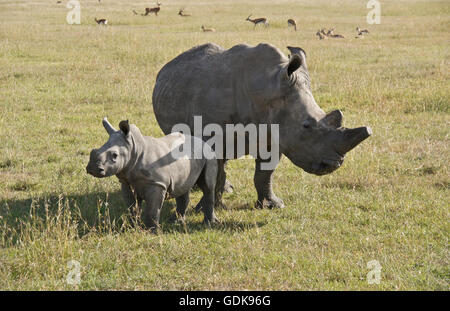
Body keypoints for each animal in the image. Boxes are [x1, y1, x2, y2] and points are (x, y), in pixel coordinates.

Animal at [86, 118, 220, 230]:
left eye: (114, 156)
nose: (92, 168)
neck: (134, 148)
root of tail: (203, 141)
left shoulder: (157, 183)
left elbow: (153, 208)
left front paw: (151, 230)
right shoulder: (126, 182)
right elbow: (132, 207)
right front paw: (132, 227)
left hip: (208, 153)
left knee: (207, 186)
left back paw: (209, 223)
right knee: (183, 187)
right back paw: (176, 221)